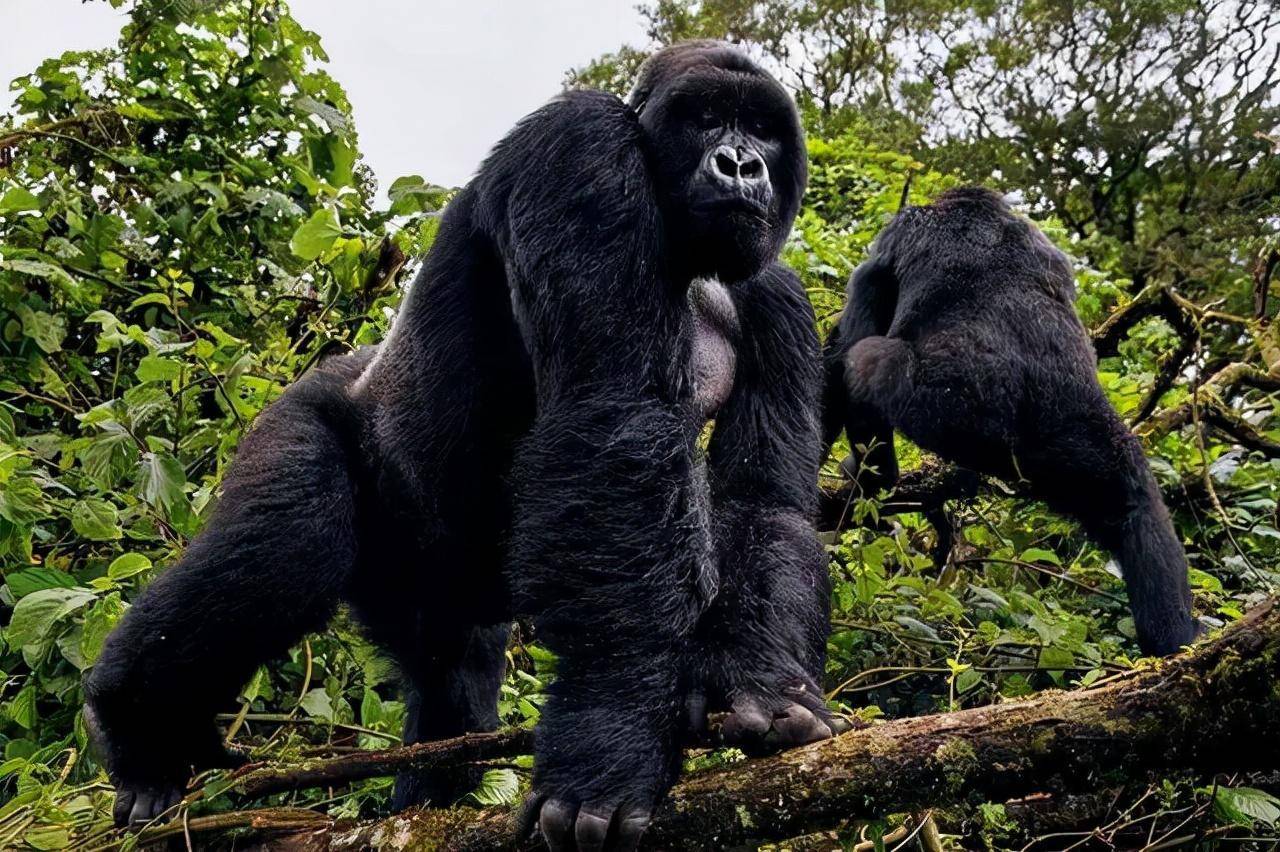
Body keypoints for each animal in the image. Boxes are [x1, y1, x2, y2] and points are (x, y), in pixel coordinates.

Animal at [85, 41, 834, 849]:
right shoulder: (578, 146)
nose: (740, 164)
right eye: (705, 119)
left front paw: (760, 683)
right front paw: (608, 738)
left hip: (429, 583)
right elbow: (614, 426)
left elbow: (764, 504)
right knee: (284, 554)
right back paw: (135, 731)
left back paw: (419, 803)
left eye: (762, 130)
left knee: (454, 681)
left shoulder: (778, 298)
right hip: (303, 412)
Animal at [819, 188, 1198, 654]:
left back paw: (875, 476)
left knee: (863, 358)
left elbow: (849, 334)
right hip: (1078, 438)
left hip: (944, 405)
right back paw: (1174, 641)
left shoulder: (894, 238)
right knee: (1135, 502)